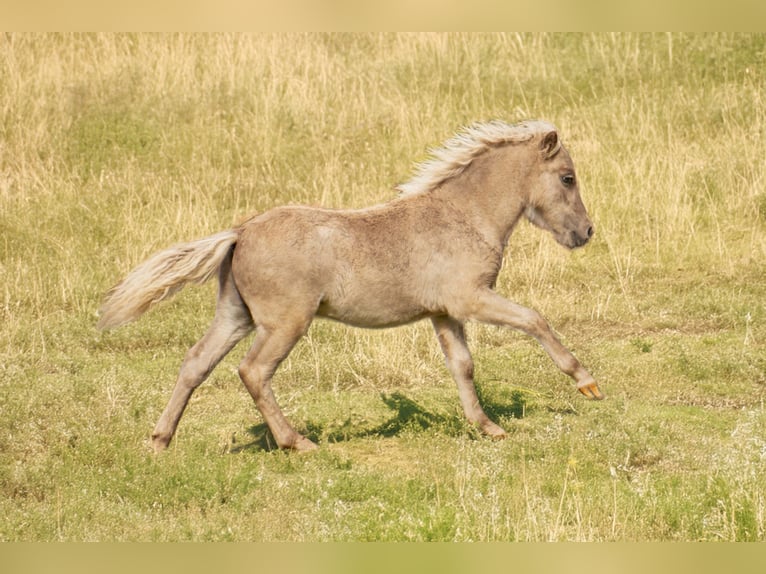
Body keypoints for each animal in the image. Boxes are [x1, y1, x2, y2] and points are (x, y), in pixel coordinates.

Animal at [97, 119, 603, 452]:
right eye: (567, 177)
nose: (585, 233)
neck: (464, 215)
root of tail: (240, 231)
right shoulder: (470, 299)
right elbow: (534, 320)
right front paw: (587, 384)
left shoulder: (443, 313)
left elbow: (462, 365)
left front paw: (488, 427)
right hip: (285, 323)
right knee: (253, 371)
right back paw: (297, 442)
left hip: (234, 315)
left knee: (195, 363)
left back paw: (160, 441)